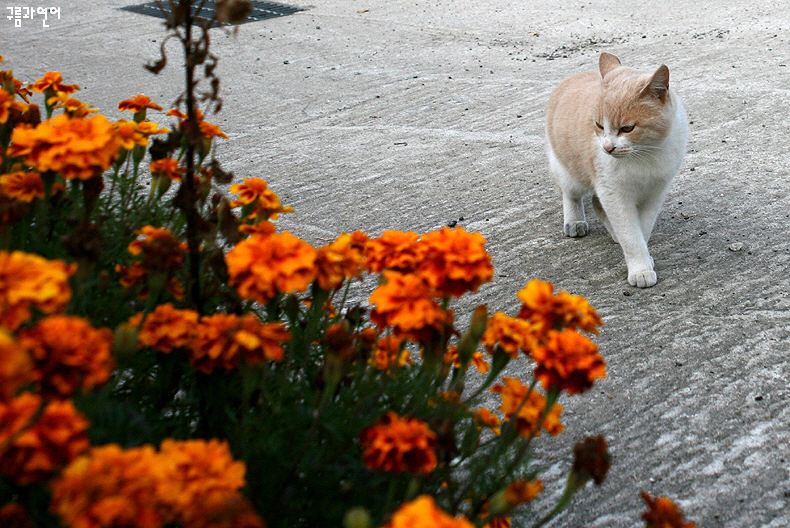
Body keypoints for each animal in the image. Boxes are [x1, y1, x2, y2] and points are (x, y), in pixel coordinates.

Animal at [548, 53, 688, 288]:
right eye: (599, 125)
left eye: (627, 128)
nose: (607, 148)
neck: (645, 155)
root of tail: (572, 77)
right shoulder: (613, 193)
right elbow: (630, 234)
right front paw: (640, 268)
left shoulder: (656, 192)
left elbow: (642, 228)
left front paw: (644, 257)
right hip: (568, 169)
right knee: (571, 194)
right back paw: (575, 221)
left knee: (597, 203)